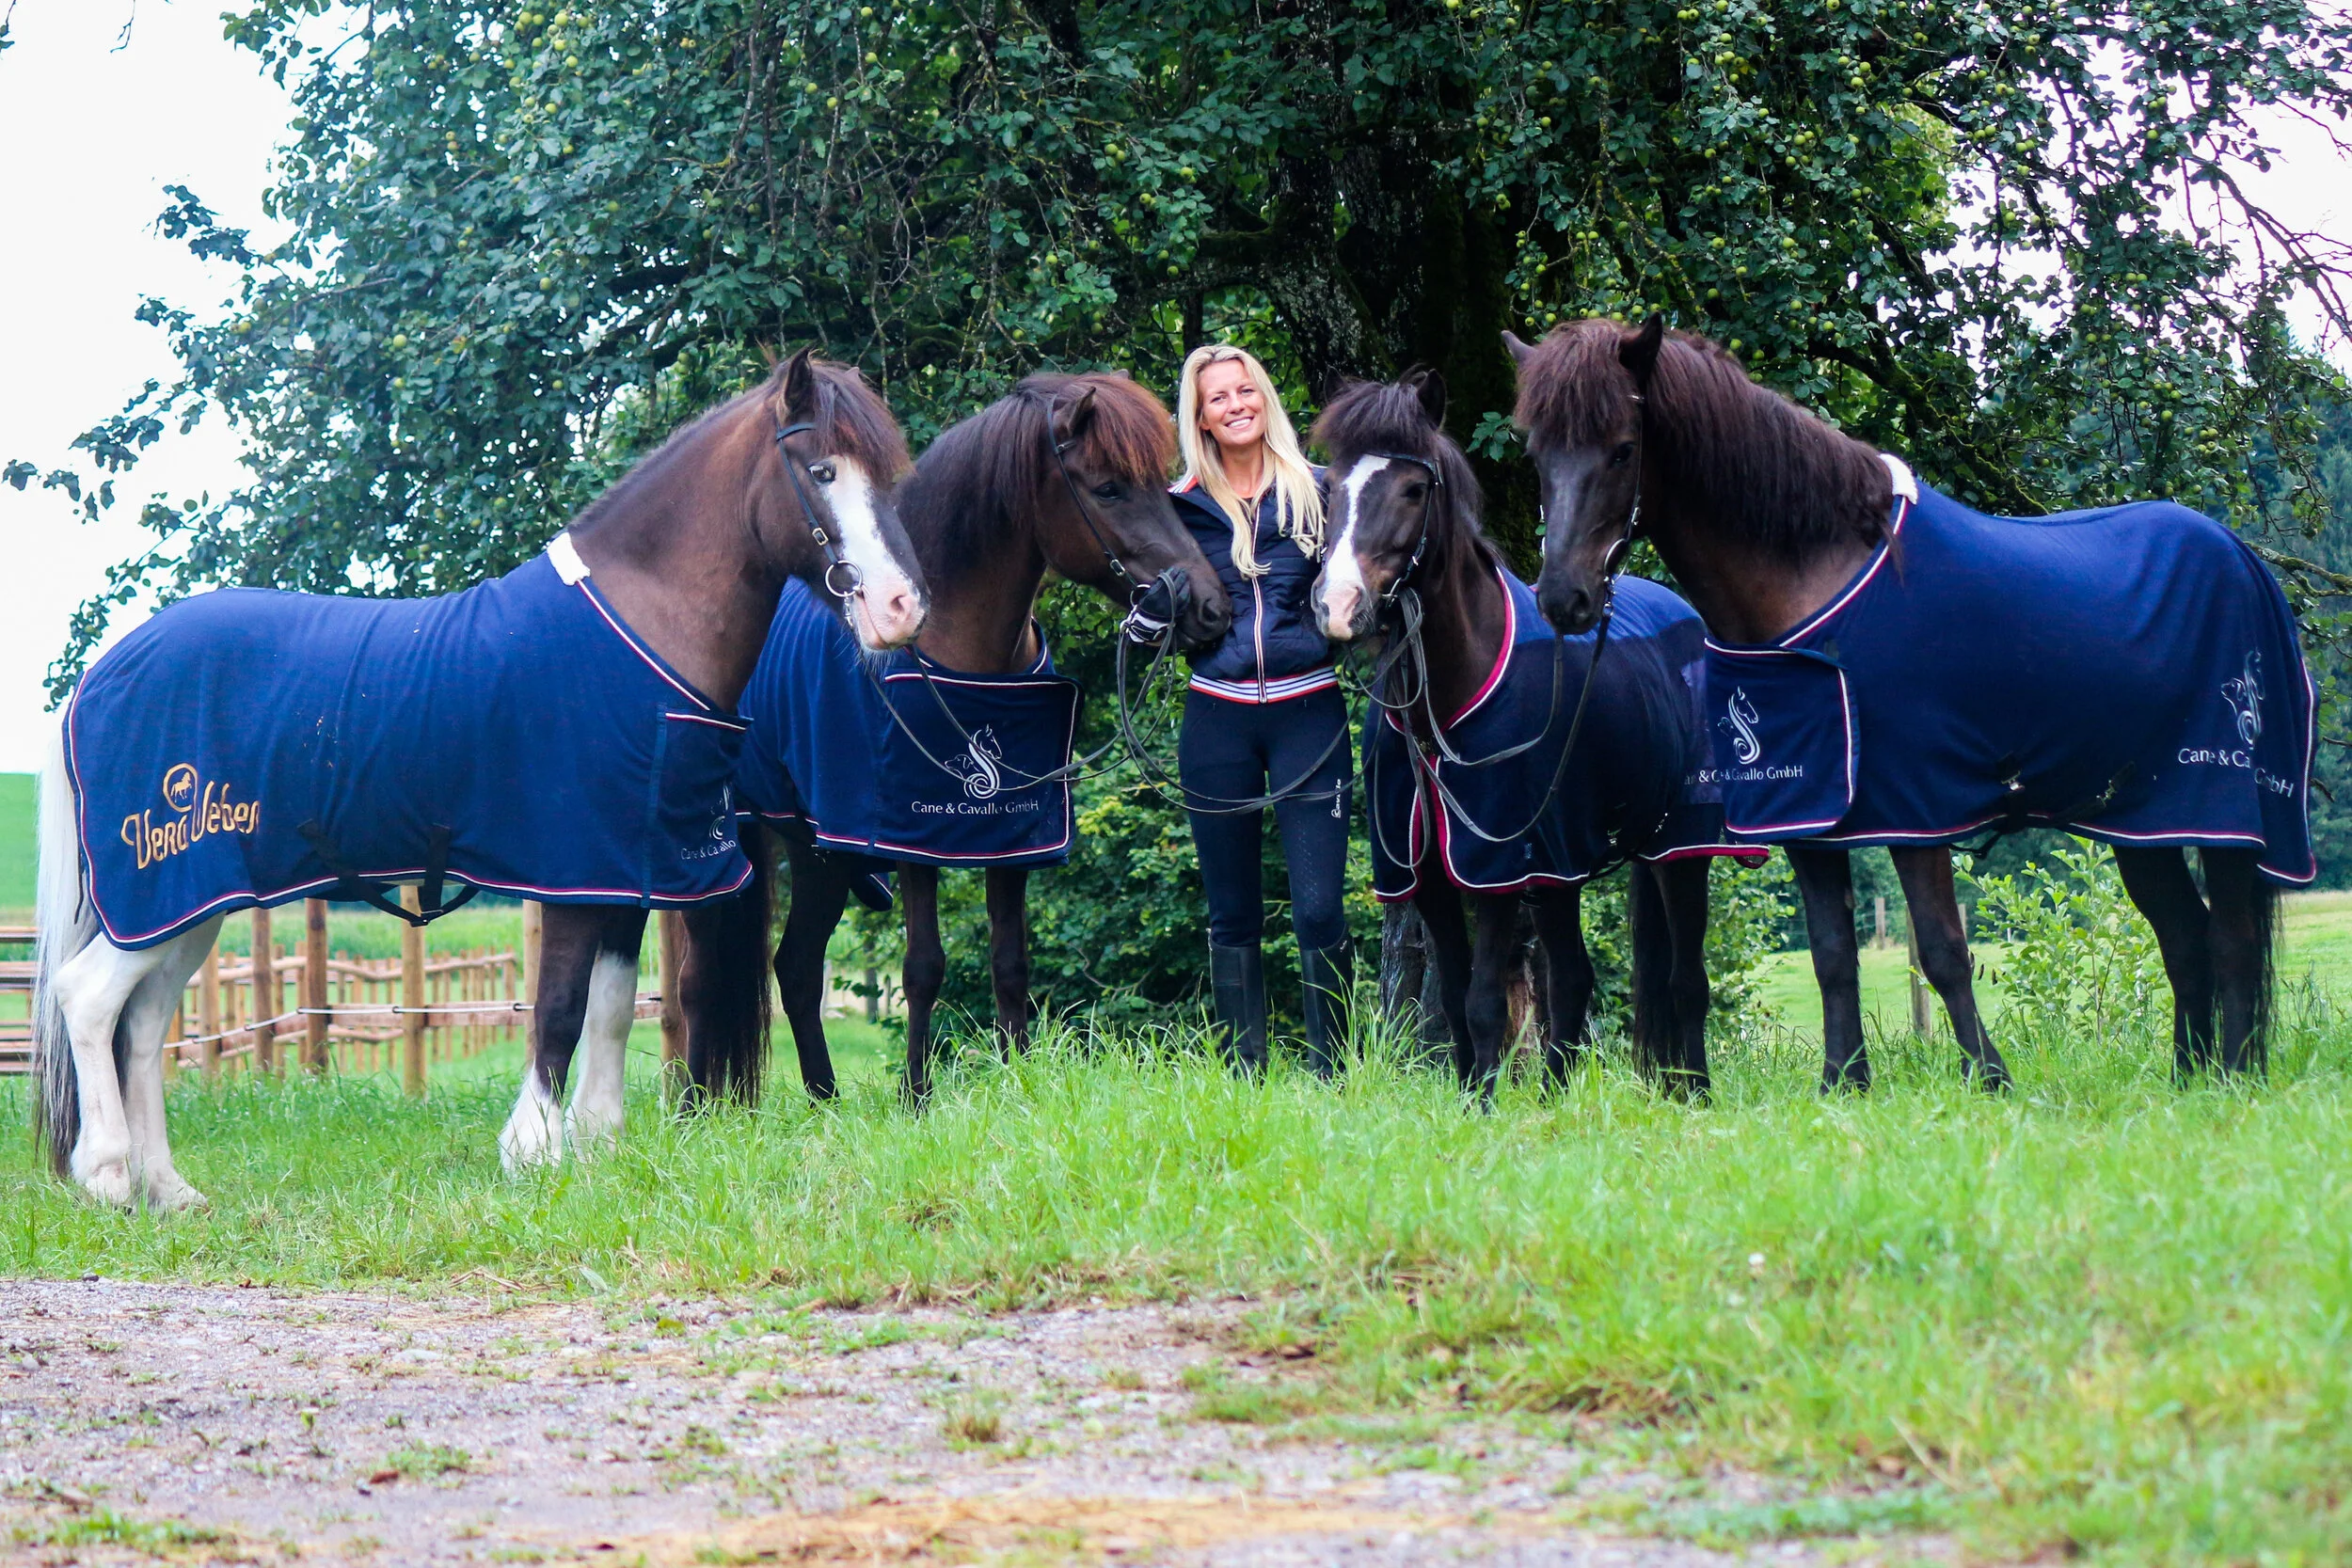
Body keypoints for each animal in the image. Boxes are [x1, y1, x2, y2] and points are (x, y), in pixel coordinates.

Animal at [34, 351, 926, 1208]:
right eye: (822, 471)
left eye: (892, 476)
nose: (902, 607)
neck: (634, 631)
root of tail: (98, 678)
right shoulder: (572, 874)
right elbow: (560, 1008)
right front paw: (533, 1151)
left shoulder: (623, 874)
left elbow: (610, 1005)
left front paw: (597, 1144)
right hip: (160, 889)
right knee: (90, 998)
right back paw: (108, 1176)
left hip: (189, 902)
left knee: (143, 1021)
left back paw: (168, 1188)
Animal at [689, 373, 1232, 1106]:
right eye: (1109, 488)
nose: (1209, 608)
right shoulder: (911, 839)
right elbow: (923, 966)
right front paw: (916, 1097)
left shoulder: (1010, 837)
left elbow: (1011, 963)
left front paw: (1019, 1077)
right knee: (699, 981)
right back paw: (696, 1104)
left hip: (817, 848)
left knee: (796, 966)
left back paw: (825, 1102)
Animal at [1309, 370, 1746, 1098]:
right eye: (1332, 486)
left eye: (1413, 489)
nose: (1337, 607)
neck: (1440, 712)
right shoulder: (1431, 873)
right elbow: (1456, 994)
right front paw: (1470, 1098)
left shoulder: (1497, 868)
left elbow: (1485, 999)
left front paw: (1485, 1105)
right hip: (1560, 866)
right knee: (1571, 979)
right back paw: (1556, 1096)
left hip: (1680, 845)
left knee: (1686, 980)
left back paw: (1696, 1092)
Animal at [1514, 317, 2314, 1088]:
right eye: (1536, 454)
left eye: (1622, 449)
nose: (1564, 598)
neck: (1814, 582)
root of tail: (2241, 557)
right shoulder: (1809, 811)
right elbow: (1833, 953)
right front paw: (1843, 1082)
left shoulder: (1915, 809)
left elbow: (1941, 949)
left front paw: (1989, 1079)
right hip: (2143, 818)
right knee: (2185, 936)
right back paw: (2190, 1077)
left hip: (2225, 806)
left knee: (2232, 938)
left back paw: (2233, 1076)